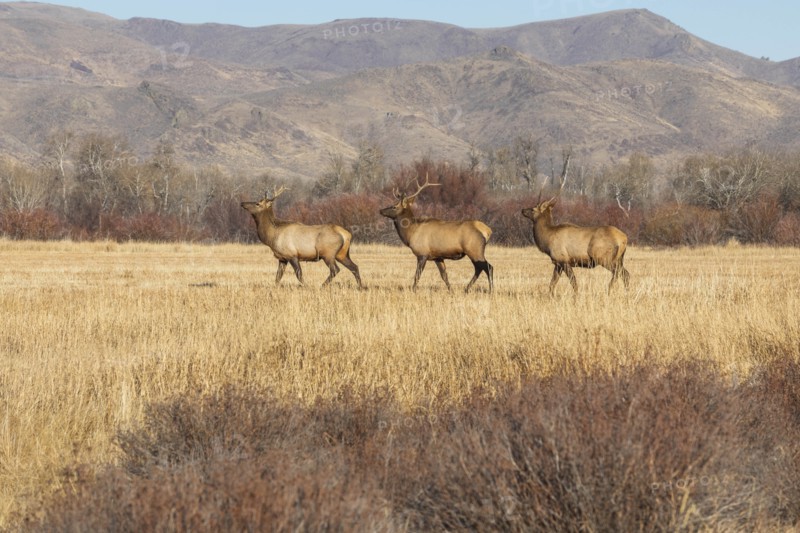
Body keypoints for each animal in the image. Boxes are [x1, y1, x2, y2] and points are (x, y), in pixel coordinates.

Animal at [521, 153, 630, 295]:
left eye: (533, 209)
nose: (523, 210)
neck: (547, 239)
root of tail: (624, 239)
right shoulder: (558, 263)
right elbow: (552, 284)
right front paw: (551, 296)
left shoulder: (564, 260)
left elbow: (573, 282)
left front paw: (576, 296)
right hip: (619, 259)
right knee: (626, 274)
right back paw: (626, 292)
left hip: (603, 257)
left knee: (617, 273)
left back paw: (609, 290)